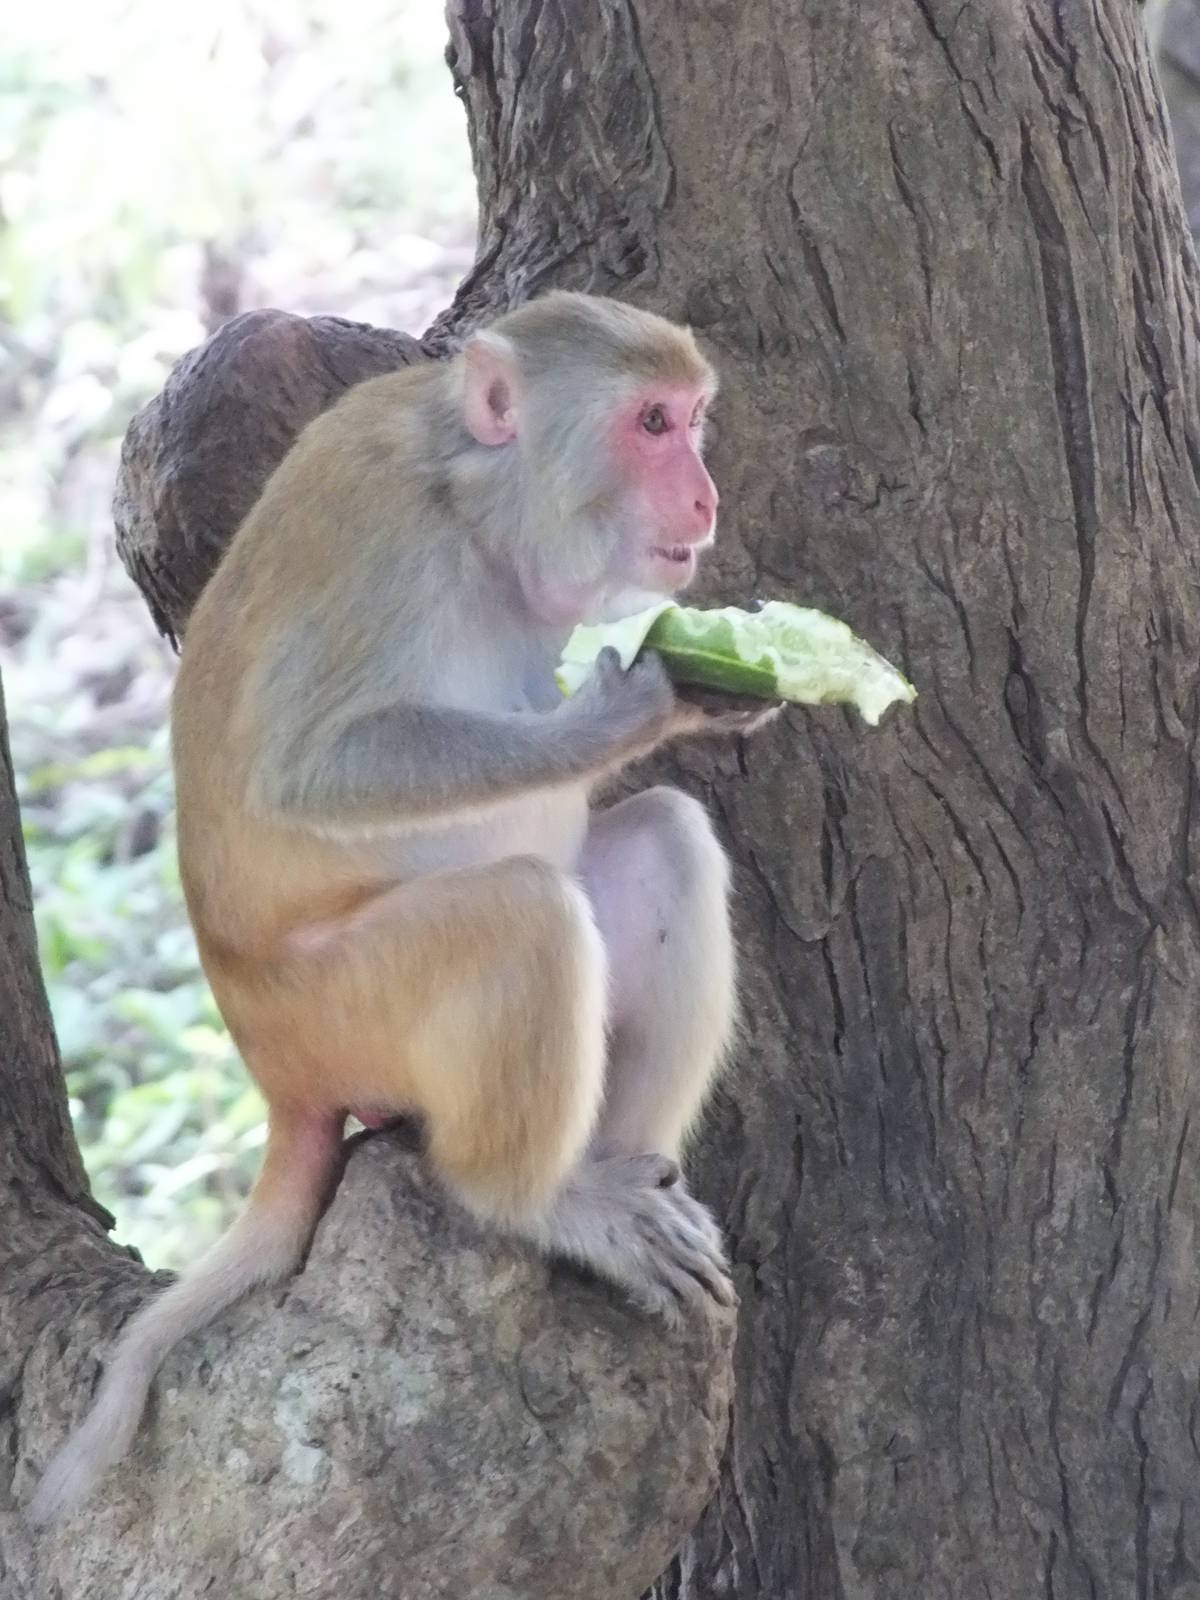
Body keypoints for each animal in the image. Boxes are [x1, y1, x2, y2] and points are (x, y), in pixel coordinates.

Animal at [30, 291, 776, 1525]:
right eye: (653, 423)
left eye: (694, 420)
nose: (707, 497)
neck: (474, 508)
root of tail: (276, 1073)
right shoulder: (380, 536)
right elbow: (309, 772)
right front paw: (628, 709)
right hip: (342, 1012)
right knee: (522, 913)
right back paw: (535, 1202)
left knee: (666, 839)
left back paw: (622, 1172)